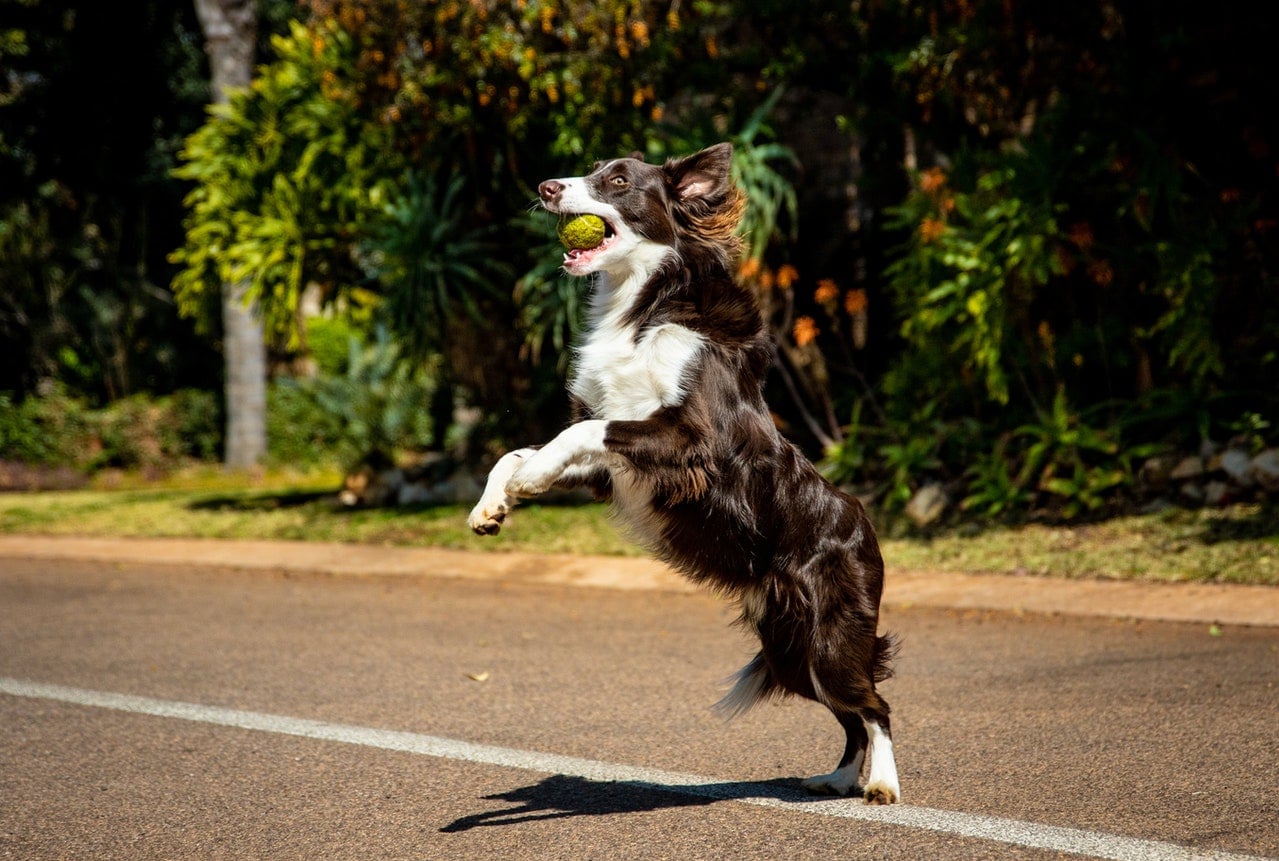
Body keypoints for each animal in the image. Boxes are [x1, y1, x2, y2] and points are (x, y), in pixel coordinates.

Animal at [468, 144, 900, 803]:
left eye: (617, 180)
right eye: (591, 170)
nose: (545, 187)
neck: (643, 304)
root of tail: (864, 524)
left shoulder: (697, 445)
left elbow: (578, 434)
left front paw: (529, 481)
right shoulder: (613, 471)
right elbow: (519, 451)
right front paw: (493, 504)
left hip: (830, 633)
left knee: (875, 704)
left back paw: (882, 784)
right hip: (790, 647)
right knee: (849, 711)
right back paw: (839, 777)